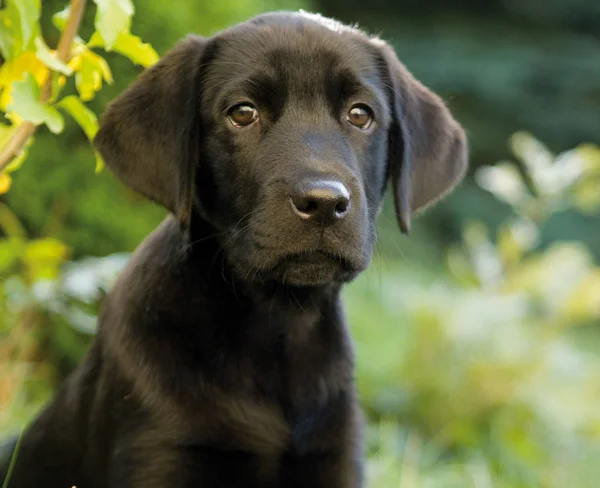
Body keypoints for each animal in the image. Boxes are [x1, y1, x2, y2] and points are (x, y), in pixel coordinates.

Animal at [0, 11, 466, 488]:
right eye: (243, 113)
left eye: (360, 114)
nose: (323, 202)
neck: (276, 323)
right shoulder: (160, 450)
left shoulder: (335, 458)